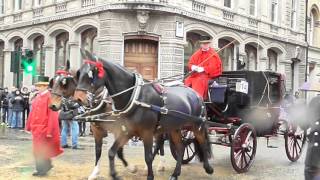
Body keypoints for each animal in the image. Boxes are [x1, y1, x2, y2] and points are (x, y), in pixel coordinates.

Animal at [72, 49, 212, 180]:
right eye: (79, 73)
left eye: (91, 73)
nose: (78, 99)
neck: (135, 96)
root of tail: (196, 94)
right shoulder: (126, 131)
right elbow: (111, 151)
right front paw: (114, 174)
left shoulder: (146, 132)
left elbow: (147, 156)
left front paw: (148, 175)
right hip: (175, 128)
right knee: (181, 147)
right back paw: (175, 174)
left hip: (197, 126)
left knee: (202, 143)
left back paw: (208, 168)